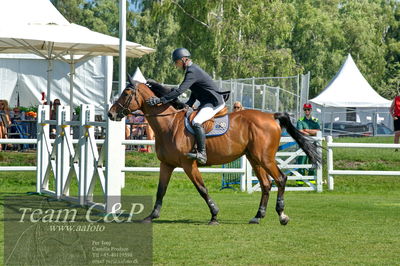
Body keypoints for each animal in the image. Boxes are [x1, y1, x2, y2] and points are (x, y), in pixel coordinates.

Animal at [108, 76, 320, 224]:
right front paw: (152, 216)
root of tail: (271, 116)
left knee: (280, 179)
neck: (169, 124)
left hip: (265, 157)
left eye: (125, 94)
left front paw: (214, 215)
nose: (110, 114)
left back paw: (282, 215)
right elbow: (161, 190)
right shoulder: (166, 164)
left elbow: (202, 189)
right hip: (254, 158)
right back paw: (257, 216)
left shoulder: (188, 164)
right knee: (266, 185)